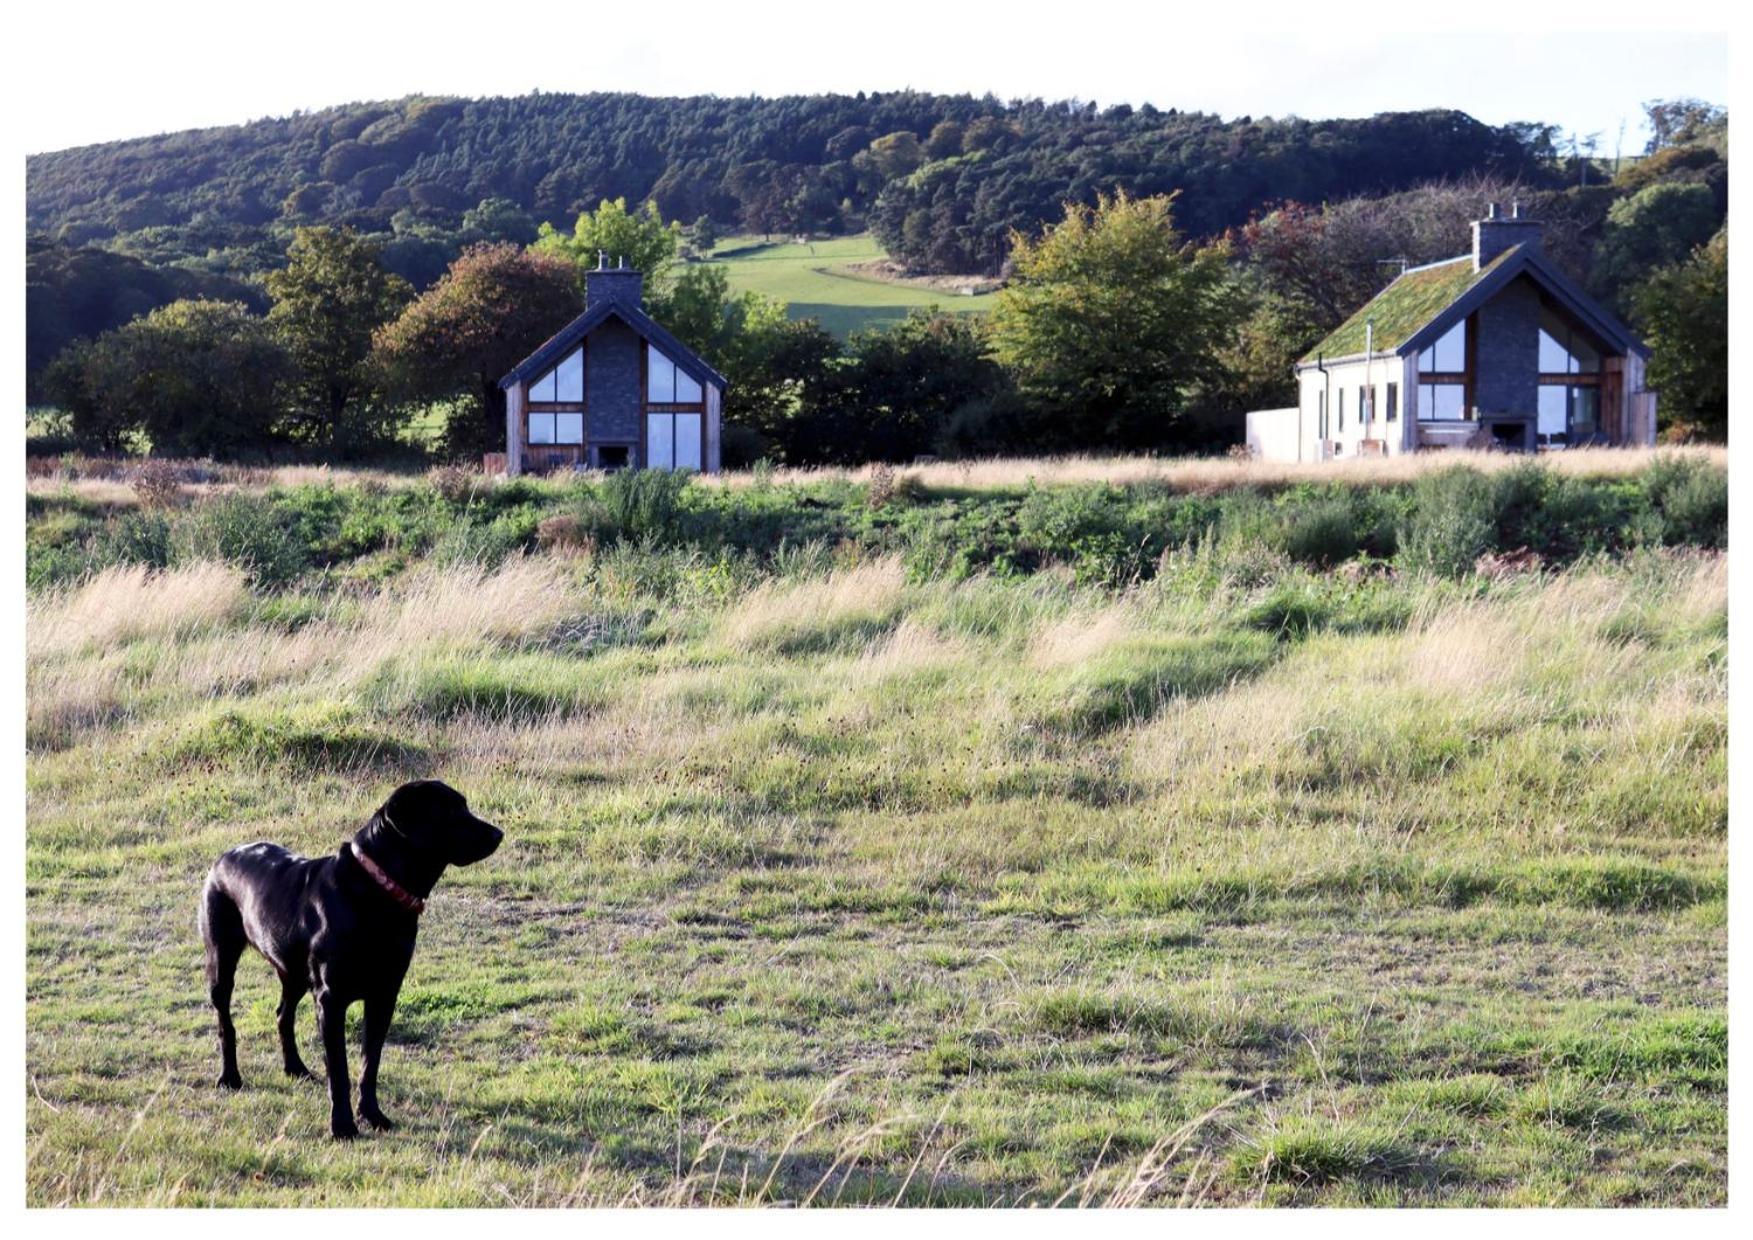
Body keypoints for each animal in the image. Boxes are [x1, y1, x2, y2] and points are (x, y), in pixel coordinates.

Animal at [199, 782, 504, 1136]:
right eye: (451, 811)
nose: (498, 834)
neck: (377, 893)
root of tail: (222, 857)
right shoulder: (331, 1000)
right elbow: (340, 1070)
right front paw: (343, 1126)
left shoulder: (384, 995)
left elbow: (369, 1065)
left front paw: (372, 1115)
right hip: (222, 961)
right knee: (226, 1022)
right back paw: (230, 1077)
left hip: (294, 973)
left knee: (282, 1015)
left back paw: (296, 1069)